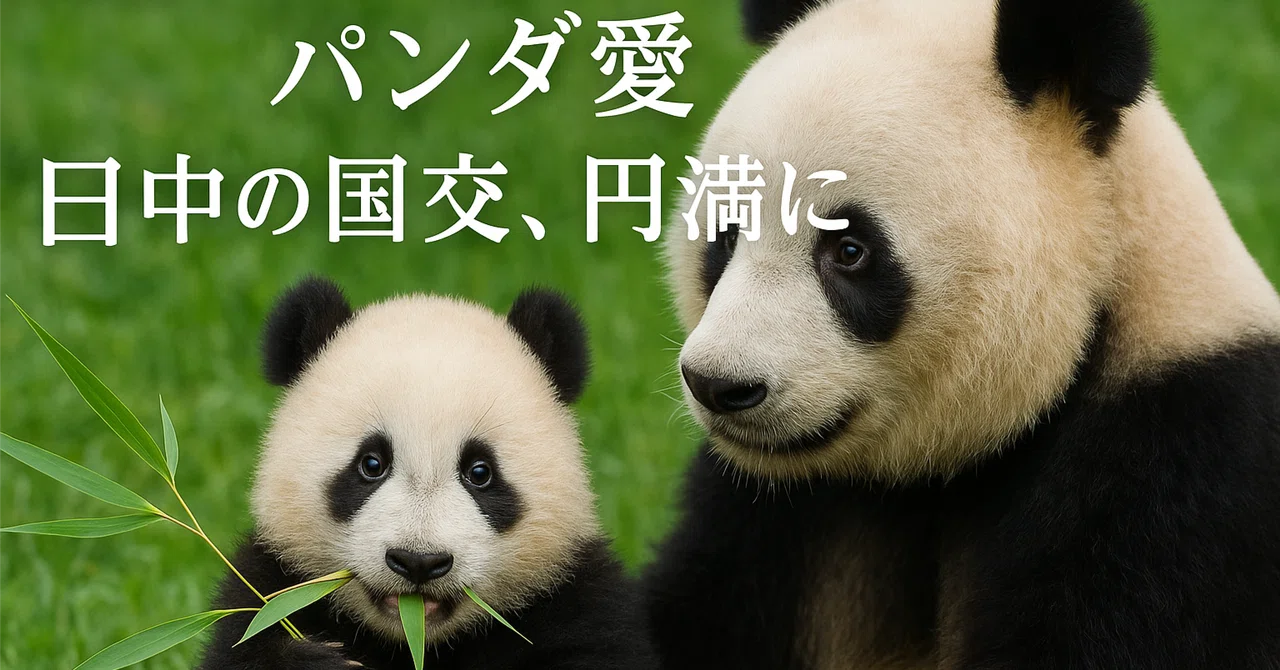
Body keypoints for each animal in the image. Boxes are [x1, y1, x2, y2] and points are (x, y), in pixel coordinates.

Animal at [199, 277, 655, 670]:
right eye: (371, 464)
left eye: (479, 472)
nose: (419, 561)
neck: (414, 638)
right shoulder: (269, 585)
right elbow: (248, 644)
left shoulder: (576, 603)